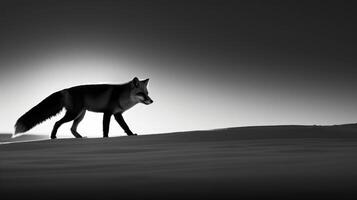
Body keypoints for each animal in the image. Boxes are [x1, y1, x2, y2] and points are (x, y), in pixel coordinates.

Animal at [13, 77, 152, 139]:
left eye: (147, 93)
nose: (152, 101)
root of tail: (65, 90)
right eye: (142, 94)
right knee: (57, 123)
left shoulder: (117, 114)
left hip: (80, 115)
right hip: (73, 114)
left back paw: (79, 137)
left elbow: (125, 126)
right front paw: (106, 138)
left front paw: (131, 134)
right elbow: (106, 128)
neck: (121, 96)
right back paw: (53, 137)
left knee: (72, 128)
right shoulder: (107, 113)